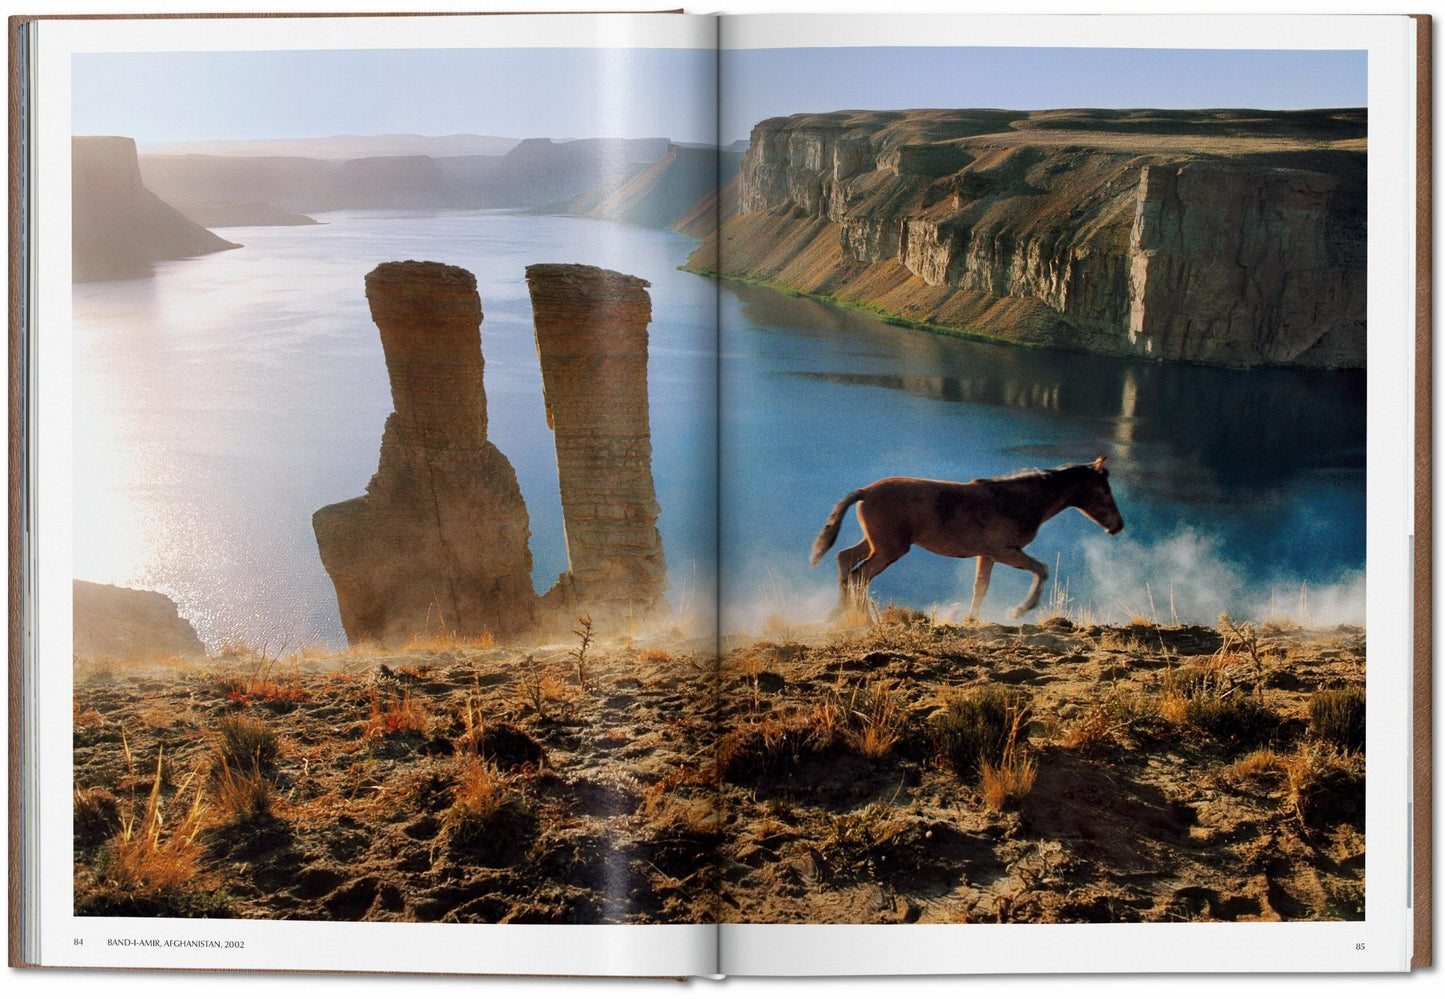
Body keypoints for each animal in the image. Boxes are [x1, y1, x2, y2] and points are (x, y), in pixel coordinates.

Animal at [809, 459, 1121, 618]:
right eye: (1105, 491)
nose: (1117, 526)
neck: (1018, 501)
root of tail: (864, 492)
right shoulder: (1005, 551)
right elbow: (1041, 570)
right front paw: (1019, 610)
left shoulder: (987, 554)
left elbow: (980, 587)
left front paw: (972, 620)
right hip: (889, 548)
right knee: (860, 574)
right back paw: (860, 618)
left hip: (878, 543)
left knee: (846, 559)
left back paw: (841, 612)